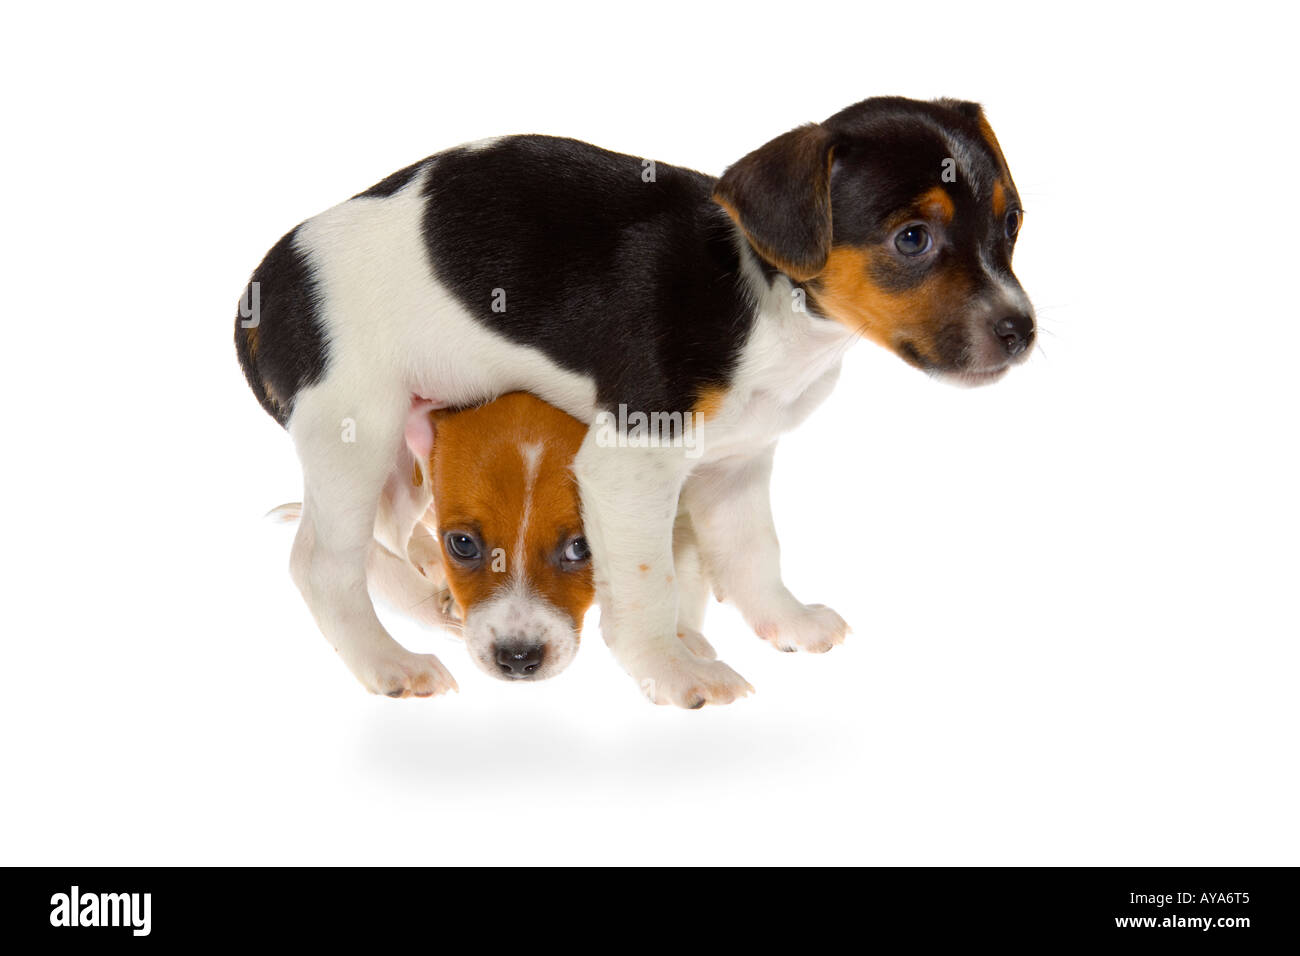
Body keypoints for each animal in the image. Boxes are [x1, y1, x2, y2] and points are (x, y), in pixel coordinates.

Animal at [236, 97, 1034, 707]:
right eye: (912, 239)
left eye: (1012, 224)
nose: (1020, 331)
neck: (764, 300)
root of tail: (263, 285)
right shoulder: (629, 462)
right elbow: (649, 584)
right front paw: (674, 670)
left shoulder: (736, 466)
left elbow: (754, 555)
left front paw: (785, 622)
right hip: (356, 435)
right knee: (322, 564)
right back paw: (388, 661)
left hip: (405, 446)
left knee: (386, 535)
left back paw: (425, 589)